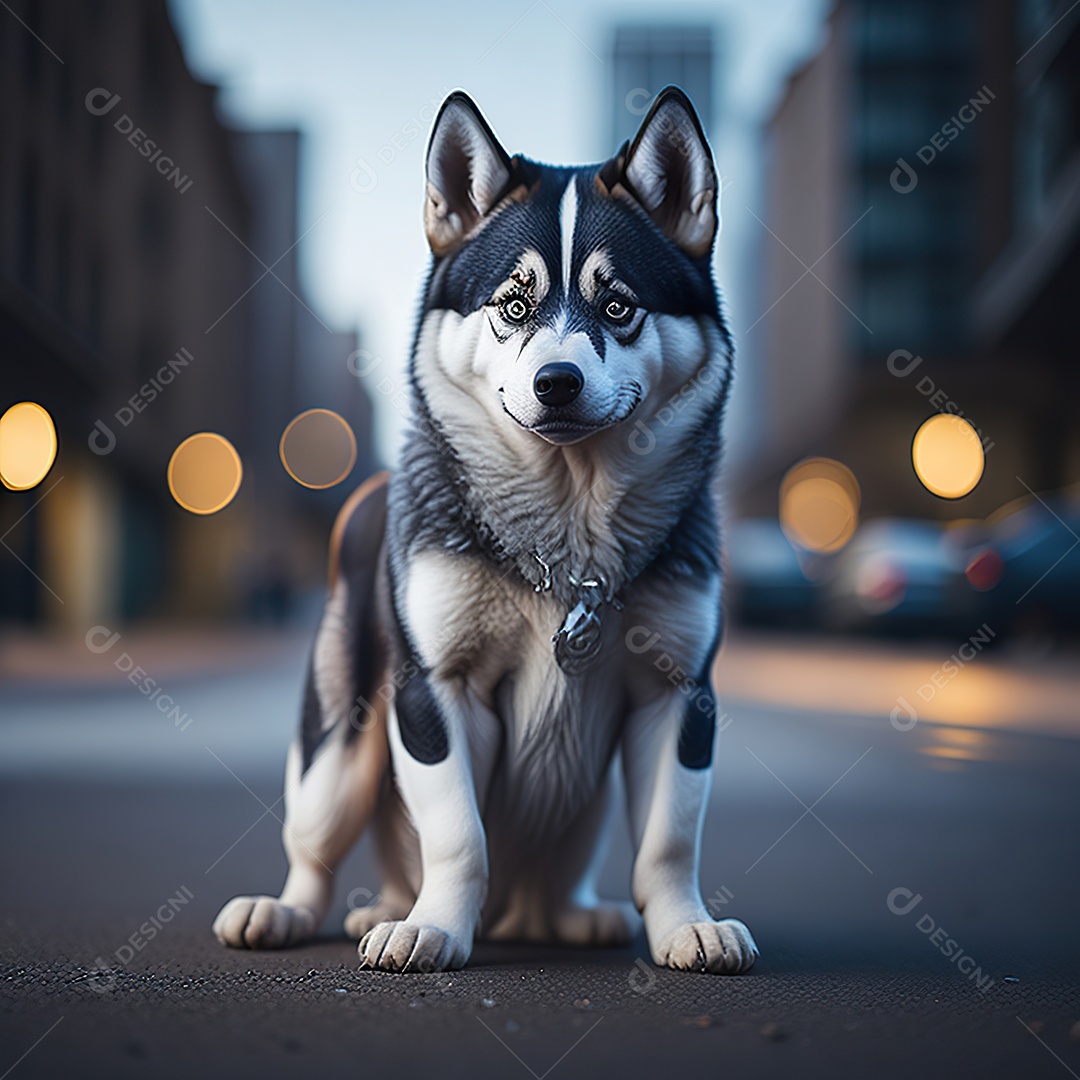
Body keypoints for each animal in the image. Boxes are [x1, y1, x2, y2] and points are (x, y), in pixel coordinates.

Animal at [214, 88, 760, 976]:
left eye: (618, 306)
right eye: (513, 304)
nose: (557, 381)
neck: (569, 532)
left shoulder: (680, 694)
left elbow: (669, 842)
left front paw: (686, 925)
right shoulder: (434, 688)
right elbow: (458, 835)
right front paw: (435, 926)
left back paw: (574, 916)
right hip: (340, 747)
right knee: (317, 848)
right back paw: (303, 909)